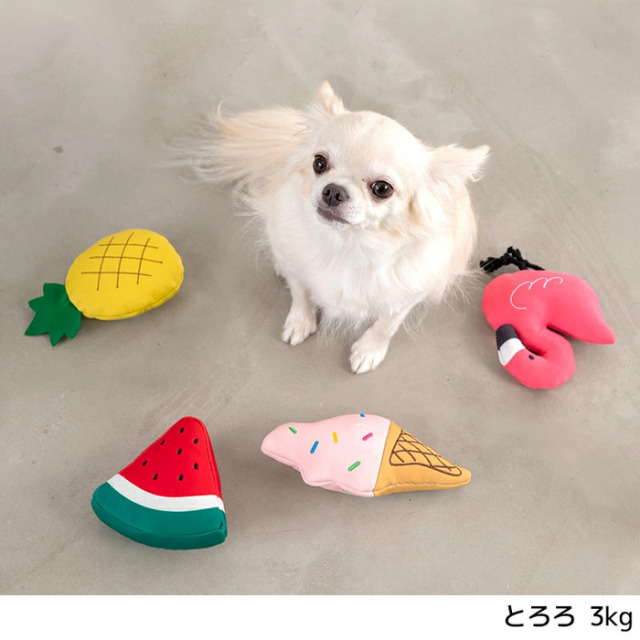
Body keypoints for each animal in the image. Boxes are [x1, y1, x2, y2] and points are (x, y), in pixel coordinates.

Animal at [191, 82, 489, 373]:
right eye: (319, 163)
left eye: (382, 189)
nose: (333, 190)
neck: (348, 244)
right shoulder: (298, 267)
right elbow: (300, 294)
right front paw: (300, 321)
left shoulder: (404, 296)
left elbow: (386, 325)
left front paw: (369, 350)